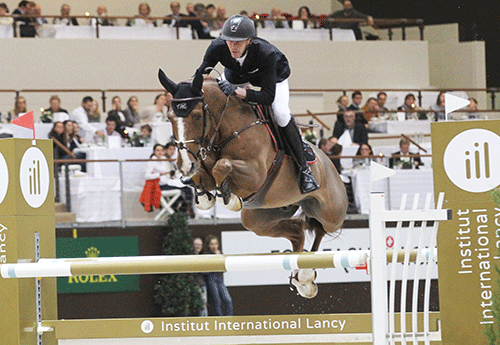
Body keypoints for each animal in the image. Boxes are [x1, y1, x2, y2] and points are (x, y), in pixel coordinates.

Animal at [158, 68, 346, 296]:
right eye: (170, 117)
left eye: (196, 116)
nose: (184, 163)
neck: (226, 128)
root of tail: (330, 164)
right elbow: (205, 172)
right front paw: (205, 196)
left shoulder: (255, 174)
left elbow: (222, 165)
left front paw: (228, 198)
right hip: (258, 218)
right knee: (298, 232)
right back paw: (301, 278)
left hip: (330, 213)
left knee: (319, 228)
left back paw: (306, 277)